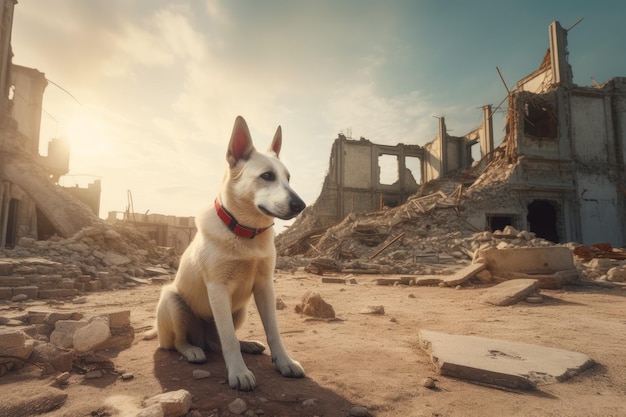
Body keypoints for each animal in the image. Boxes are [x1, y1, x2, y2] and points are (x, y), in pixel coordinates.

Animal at [144, 114, 304, 390]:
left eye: (288, 178)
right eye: (267, 176)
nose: (301, 205)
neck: (246, 233)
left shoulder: (265, 286)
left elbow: (273, 332)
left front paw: (284, 362)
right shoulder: (218, 288)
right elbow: (228, 339)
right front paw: (239, 372)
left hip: (239, 310)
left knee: (218, 341)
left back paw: (246, 343)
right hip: (173, 301)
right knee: (180, 343)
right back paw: (193, 350)